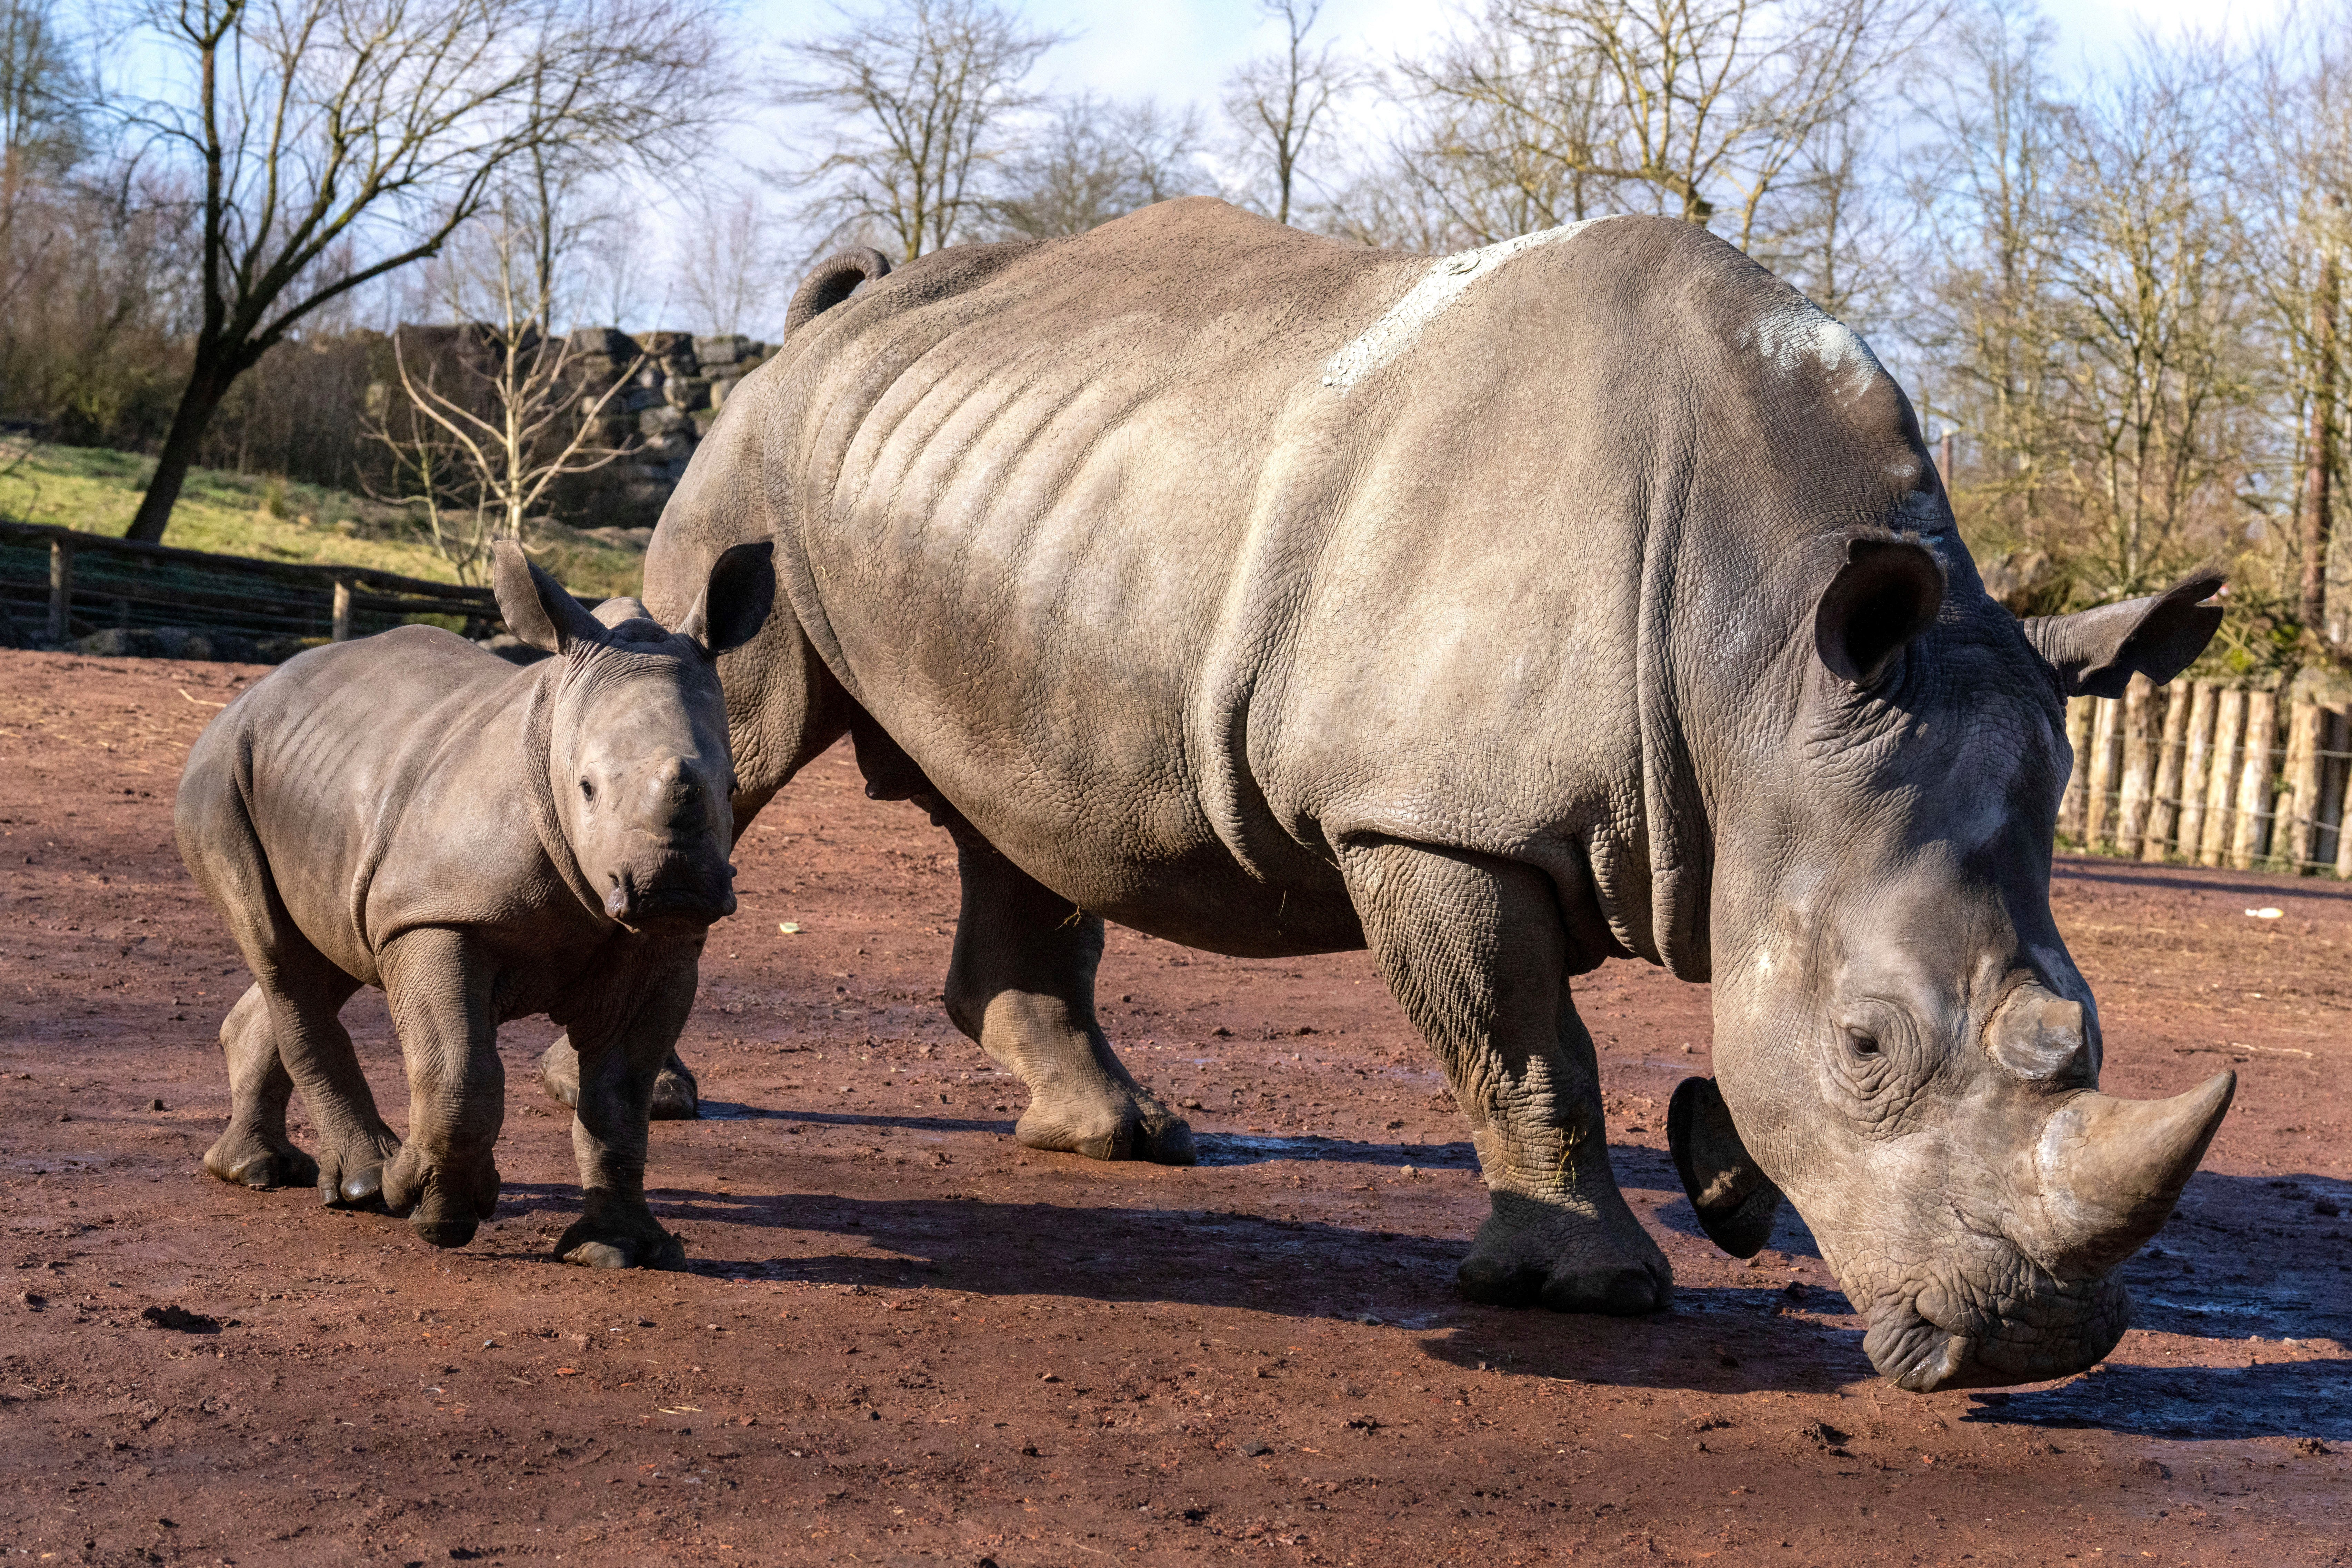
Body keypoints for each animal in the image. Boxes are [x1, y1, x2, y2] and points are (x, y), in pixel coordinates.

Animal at [176, 540, 773, 1267]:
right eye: (586, 788)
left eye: (734, 785)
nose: (675, 887)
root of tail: (246, 696)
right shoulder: (439, 913)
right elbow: (461, 1072)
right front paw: (440, 1211)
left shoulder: (661, 947)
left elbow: (620, 1097)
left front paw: (618, 1249)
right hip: (222, 775)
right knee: (282, 956)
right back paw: (364, 1183)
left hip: (325, 785)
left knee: (327, 950)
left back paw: (257, 1169)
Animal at [625, 199, 2231, 1389]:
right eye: (1864, 1046)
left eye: (2083, 1025)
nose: (2031, 1346)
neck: (1754, 663)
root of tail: (819, 327)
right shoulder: (1427, 815)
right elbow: (1527, 1048)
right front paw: (1589, 1289)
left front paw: (1728, 1189)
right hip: (747, 481)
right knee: (736, 726)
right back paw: (668, 1091)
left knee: (1019, 808)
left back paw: (1124, 1135)